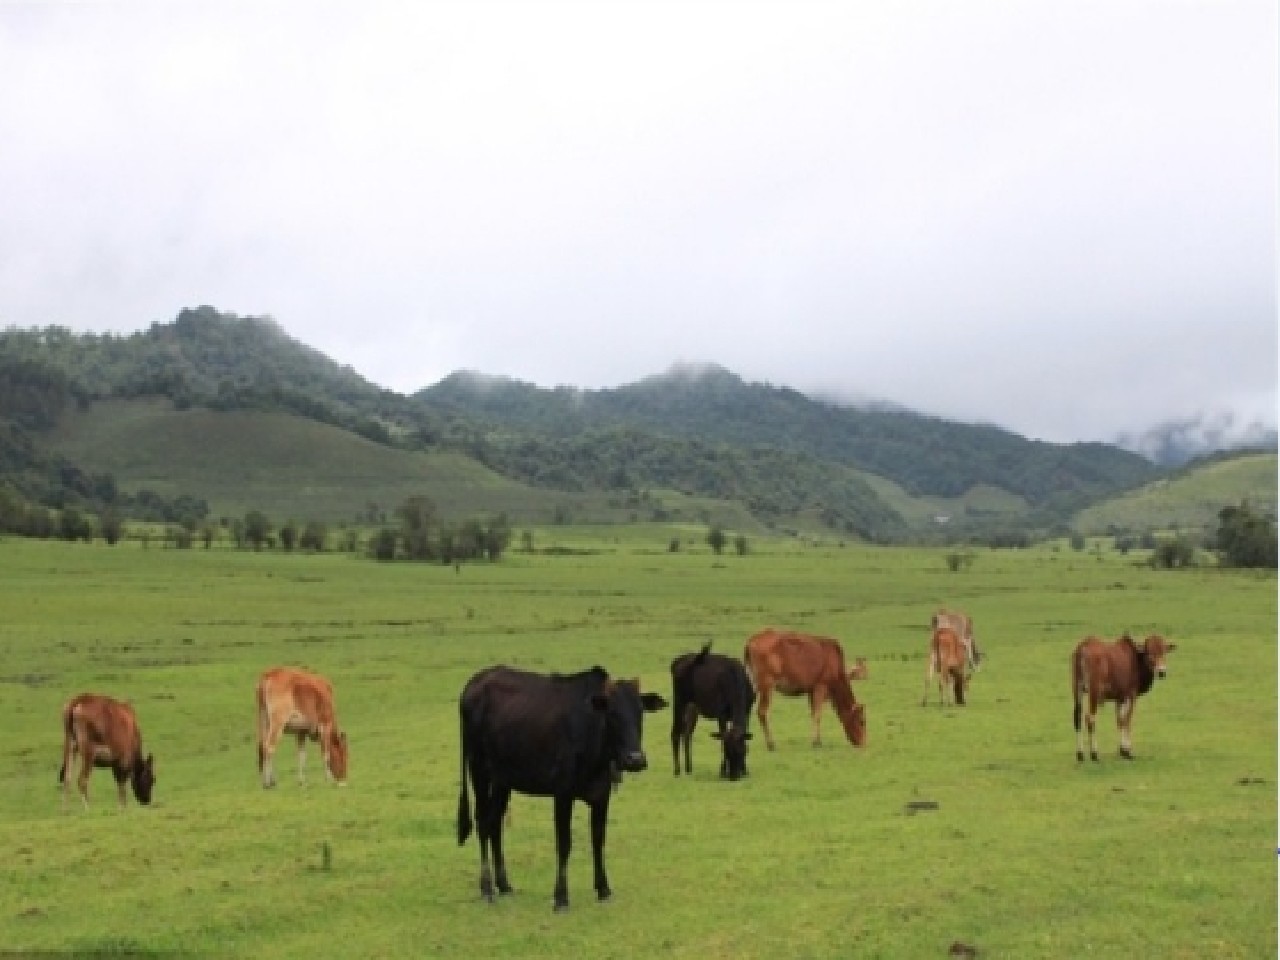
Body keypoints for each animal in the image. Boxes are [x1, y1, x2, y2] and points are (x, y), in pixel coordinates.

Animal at [455, 665, 665, 911]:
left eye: (641, 713)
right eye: (611, 714)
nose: (635, 759)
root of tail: (475, 681)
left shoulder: (602, 796)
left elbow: (598, 840)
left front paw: (603, 889)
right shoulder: (563, 794)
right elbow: (564, 844)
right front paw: (561, 897)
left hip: (502, 781)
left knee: (494, 822)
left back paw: (504, 885)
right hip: (478, 770)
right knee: (482, 823)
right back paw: (487, 889)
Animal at [670, 640, 757, 783]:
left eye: (742, 751)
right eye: (727, 752)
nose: (734, 777)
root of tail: (677, 660)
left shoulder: (747, 711)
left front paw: (745, 770)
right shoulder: (721, 714)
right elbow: (722, 738)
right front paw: (722, 771)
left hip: (692, 707)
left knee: (687, 734)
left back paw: (689, 768)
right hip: (679, 701)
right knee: (675, 733)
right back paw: (677, 771)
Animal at [742, 627, 870, 757]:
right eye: (862, 721)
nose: (863, 744)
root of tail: (750, 642)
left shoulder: (811, 690)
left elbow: (813, 713)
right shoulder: (820, 686)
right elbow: (817, 715)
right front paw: (817, 742)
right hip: (767, 684)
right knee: (762, 712)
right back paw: (771, 744)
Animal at [1070, 634, 1177, 762]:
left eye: (1164, 651)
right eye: (1150, 653)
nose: (1161, 672)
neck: (1137, 658)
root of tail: (1083, 647)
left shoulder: (1119, 698)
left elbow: (1120, 720)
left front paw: (1121, 750)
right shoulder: (1131, 695)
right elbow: (1127, 720)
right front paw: (1127, 751)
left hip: (1077, 689)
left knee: (1077, 718)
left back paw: (1080, 754)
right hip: (1094, 692)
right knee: (1090, 718)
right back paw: (1094, 754)